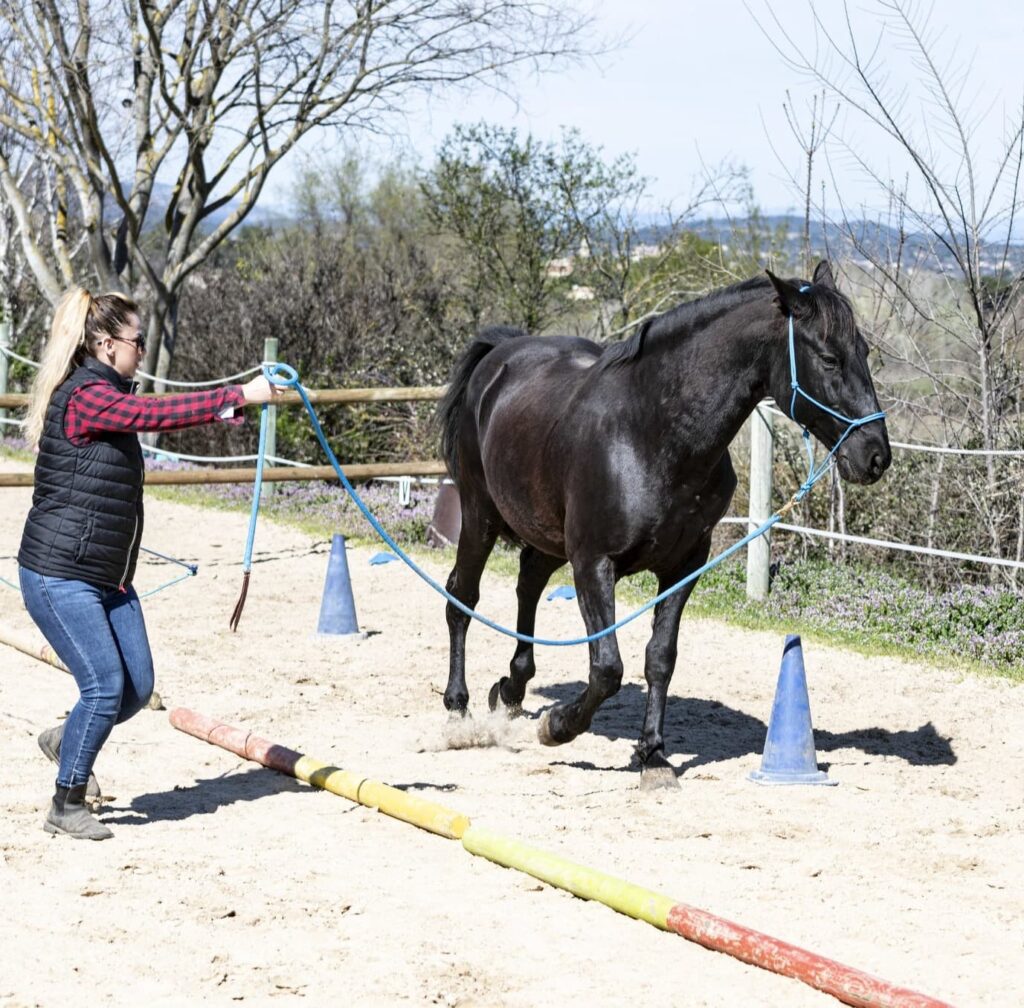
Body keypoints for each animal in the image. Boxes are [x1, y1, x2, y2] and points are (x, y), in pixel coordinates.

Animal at [436, 261, 891, 788]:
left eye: (864, 351)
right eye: (829, 358)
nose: (876, 456)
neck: (650, 432)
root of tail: (500, 356)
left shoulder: (684, 565)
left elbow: (660, 658)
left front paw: (652, 755)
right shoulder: (593, 563)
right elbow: (607, 668)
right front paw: (558, 727)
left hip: (544, 532)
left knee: (527, 582)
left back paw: (511, 690)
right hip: (481, 516)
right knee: (462, 597)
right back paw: (459, 707)